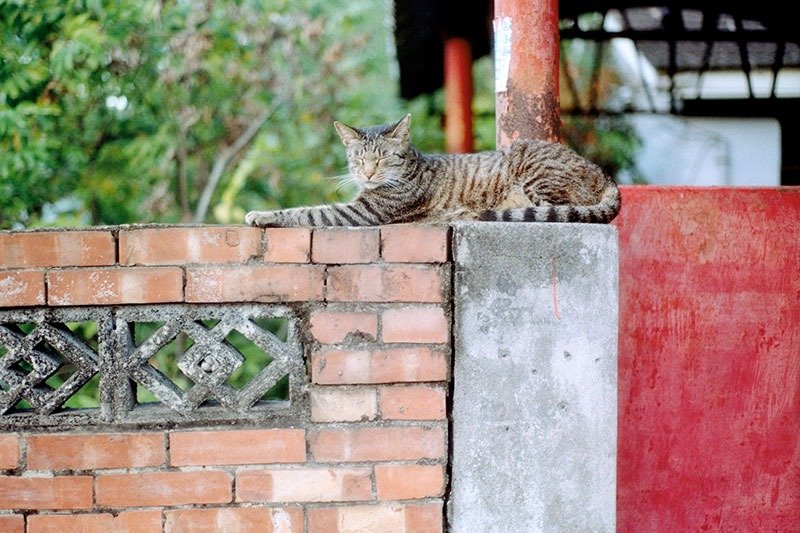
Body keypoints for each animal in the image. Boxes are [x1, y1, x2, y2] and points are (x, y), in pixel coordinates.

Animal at [244, 114, 620, 224]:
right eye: (359, 160)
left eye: (382, 158)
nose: (367, 174)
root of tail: (604, 175)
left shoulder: (360, 213)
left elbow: (305, 212)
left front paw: (261, 215)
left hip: (534, 170)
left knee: (558, 208)